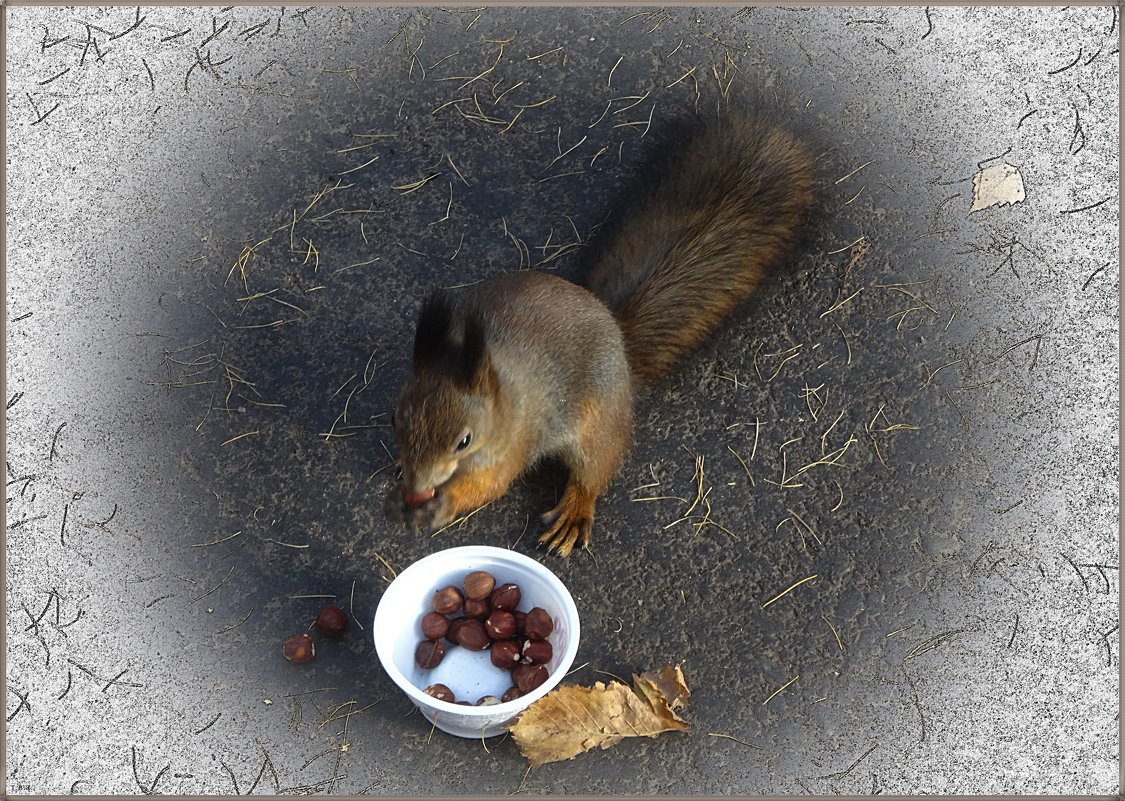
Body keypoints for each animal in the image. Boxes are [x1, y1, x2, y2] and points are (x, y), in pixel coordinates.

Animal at [382, 114, 814, 558]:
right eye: (396, 417)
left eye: (464, 441)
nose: (417, 484)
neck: (497, 387)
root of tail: (615, 330)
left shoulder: (513, 442)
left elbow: (489, 485)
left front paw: (442, 502)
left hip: (599, 418)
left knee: (596, 467)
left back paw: (575, 510)